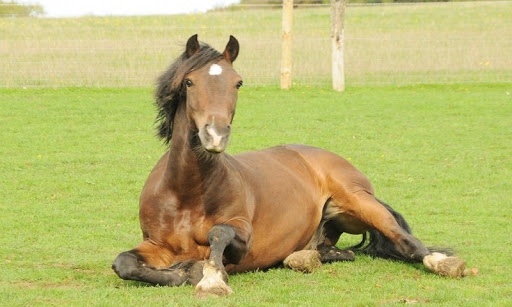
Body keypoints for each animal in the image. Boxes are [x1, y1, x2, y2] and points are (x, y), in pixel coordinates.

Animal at [112, 34, 468, 298]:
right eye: (189, 82)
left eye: (238, 83)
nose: (215, 134)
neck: (187, 192)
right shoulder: (156, 245)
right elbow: (124, 263)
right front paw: (184, 272)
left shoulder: (243, 240)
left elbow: (218, 233)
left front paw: (209, 276)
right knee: (338, 251)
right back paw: (306, 257)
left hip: (359, 203)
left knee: (405, 240)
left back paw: (444, 263)